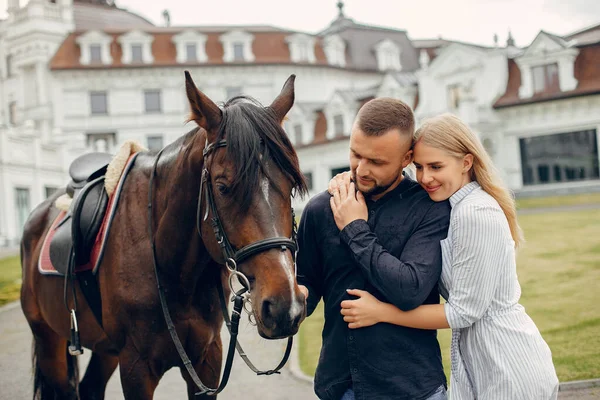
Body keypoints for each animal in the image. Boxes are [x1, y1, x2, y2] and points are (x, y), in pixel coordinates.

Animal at [18, 72, 310, 400]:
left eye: (292, 185)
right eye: (223, 187)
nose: (285, 307)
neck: (172, 269)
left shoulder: (207, 360)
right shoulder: (136, 368)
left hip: (105, 350)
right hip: (49, 340)